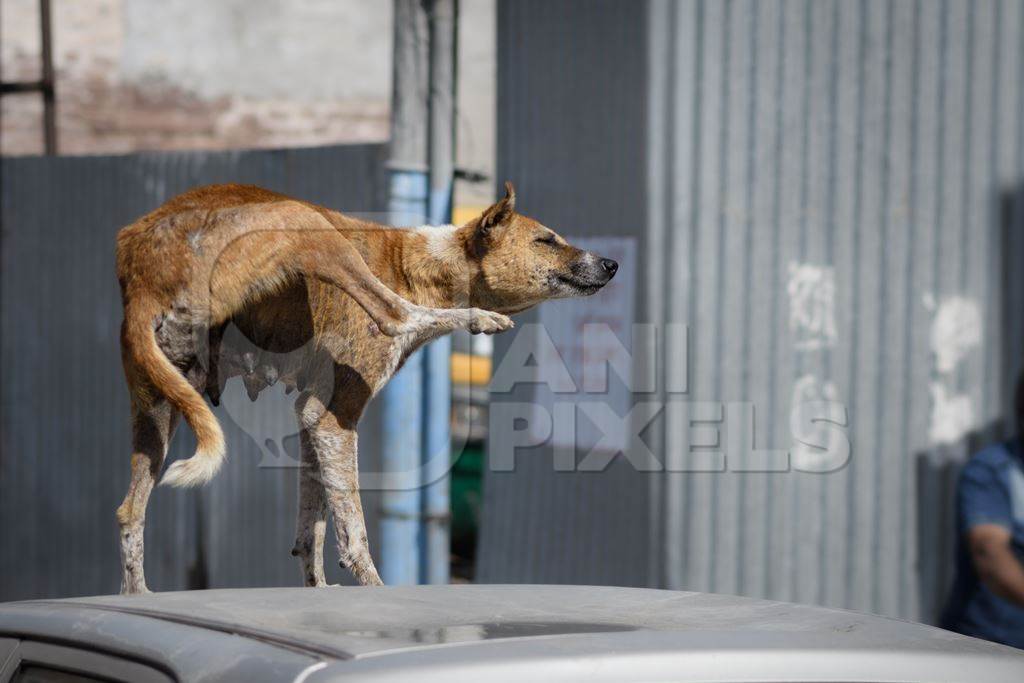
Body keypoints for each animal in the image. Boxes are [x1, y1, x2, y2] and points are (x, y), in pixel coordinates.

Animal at [116, 181, 618, 593]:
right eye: (546, 241)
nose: (612, 263)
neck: (421, 265)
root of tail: (140, 269)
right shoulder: (333, 419)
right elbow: (353, 529)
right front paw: (372, 588)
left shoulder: (311, 420)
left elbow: (312, 526)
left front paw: (318, 590)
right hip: (308, 224)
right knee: (395, 314)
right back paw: (478, 318)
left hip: (159, 410)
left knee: (129, 513)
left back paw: (137, 596)